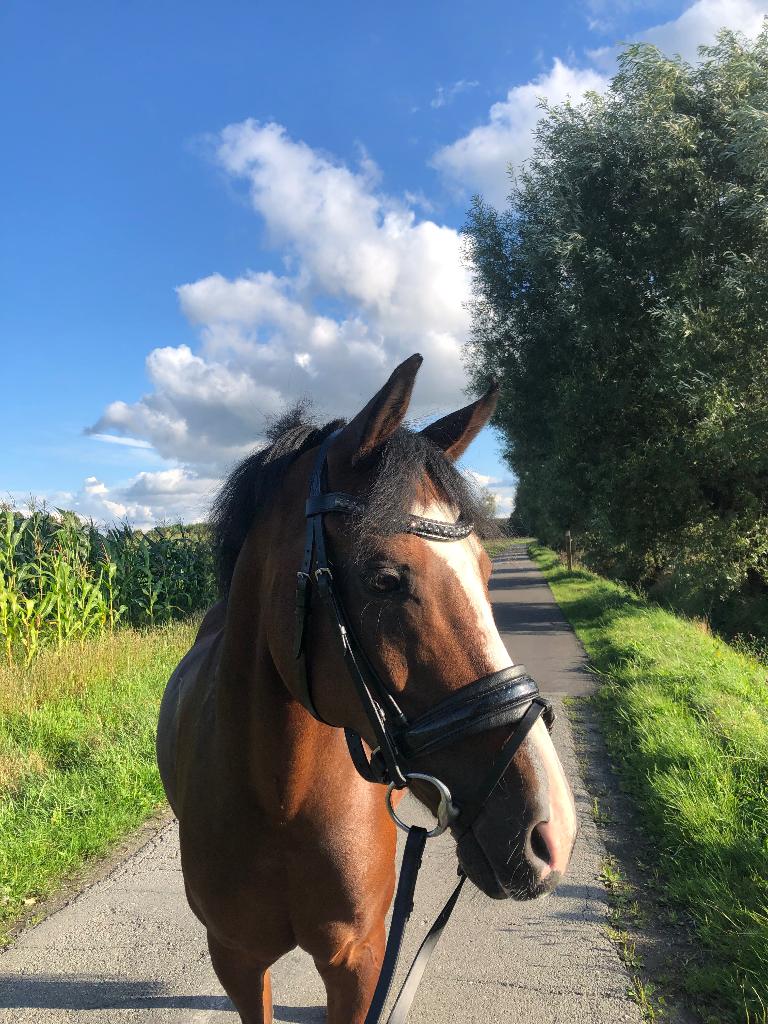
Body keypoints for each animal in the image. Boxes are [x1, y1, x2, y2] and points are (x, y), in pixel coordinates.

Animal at [157, 354, 577, 1023]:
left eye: (486, 571)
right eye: (385, 579)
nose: (552, 832)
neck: (278, 799)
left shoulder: (358, 962)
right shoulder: (238, 961)